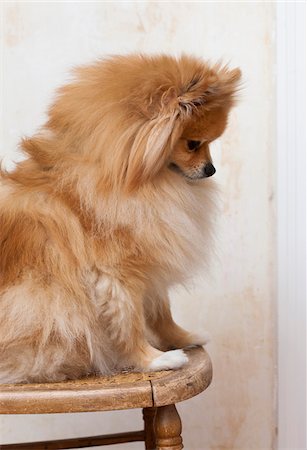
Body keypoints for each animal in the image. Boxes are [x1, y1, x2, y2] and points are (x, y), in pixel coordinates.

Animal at [0, 53, 241, 384]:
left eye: (209, 143)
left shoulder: (151, 259)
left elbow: (161, 311)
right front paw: (155, 359)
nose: (211, 169)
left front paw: (182, 338)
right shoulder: (115, 274)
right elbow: (130, 322)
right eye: (193, 143)